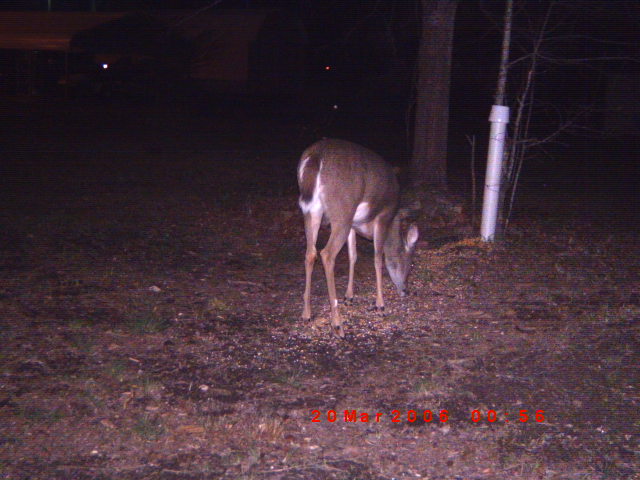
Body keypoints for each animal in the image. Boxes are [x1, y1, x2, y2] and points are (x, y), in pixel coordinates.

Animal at [297, 138, 419, 337]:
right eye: (409, 262)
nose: (405, 290)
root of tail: (316, 155)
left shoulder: (353, 225)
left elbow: (353, 256)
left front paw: (349, 296)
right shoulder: (382, 217)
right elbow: (377, 258)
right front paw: (380, 305)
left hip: (312, 210)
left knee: (310, 253)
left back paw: (306, 314)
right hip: (342, 210)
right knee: (327, 254)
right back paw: (337, 324)